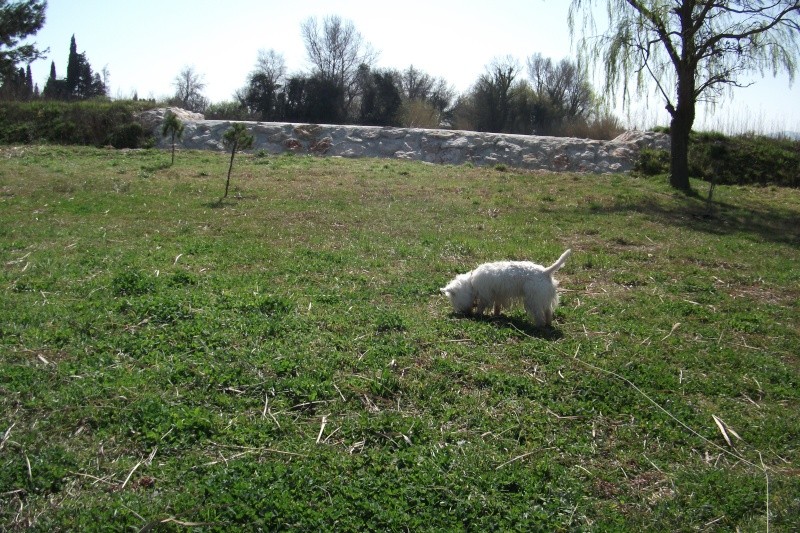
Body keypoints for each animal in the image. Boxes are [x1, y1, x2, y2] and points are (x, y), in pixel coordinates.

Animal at [440, 250, 572, 328]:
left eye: (454, 301)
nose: (464, 314)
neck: (472, 283)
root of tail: (545, 272)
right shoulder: (498, 295)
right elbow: (497, 307)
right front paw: (496, 315)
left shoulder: (485, 295)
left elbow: (481, 306)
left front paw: (478, 314)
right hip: (542, 298)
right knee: (548, 311)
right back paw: (548, 324)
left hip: (534, 300)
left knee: (539, 315)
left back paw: (538, 327)